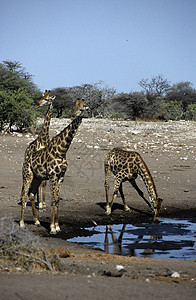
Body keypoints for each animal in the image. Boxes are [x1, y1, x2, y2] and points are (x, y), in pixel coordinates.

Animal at [20, 98, 88, 234]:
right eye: (78, 108)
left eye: (84, 108)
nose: (74, 115)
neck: (62, 150)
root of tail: (26, 159)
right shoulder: (52, 175)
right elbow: (52, 200)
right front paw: (52, 228)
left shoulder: (61, 176)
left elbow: (57, 200)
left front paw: (57, 226)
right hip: (28, 175)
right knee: (24, 194)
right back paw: (22, 223)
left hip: (37, 177)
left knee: (31, 194)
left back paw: (36, 221)